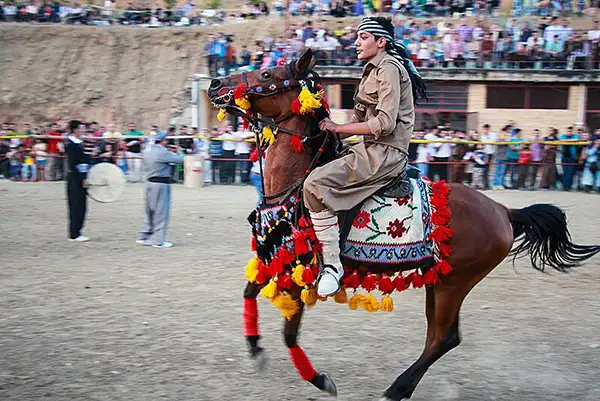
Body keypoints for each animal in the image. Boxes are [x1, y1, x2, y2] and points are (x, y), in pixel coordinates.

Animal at [206, 48, 600, 398]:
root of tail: (503, 211)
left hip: (455, 282)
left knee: (444, 337)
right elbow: (249, 293)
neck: (295, 182)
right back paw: (402, 387)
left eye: (267, 74)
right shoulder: (276, 258)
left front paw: (319, 379)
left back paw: (395, 389)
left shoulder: (301, 271)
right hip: (439, 280)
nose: (214, 83)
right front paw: (256, 349)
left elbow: (289, 332)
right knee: (438, 336)